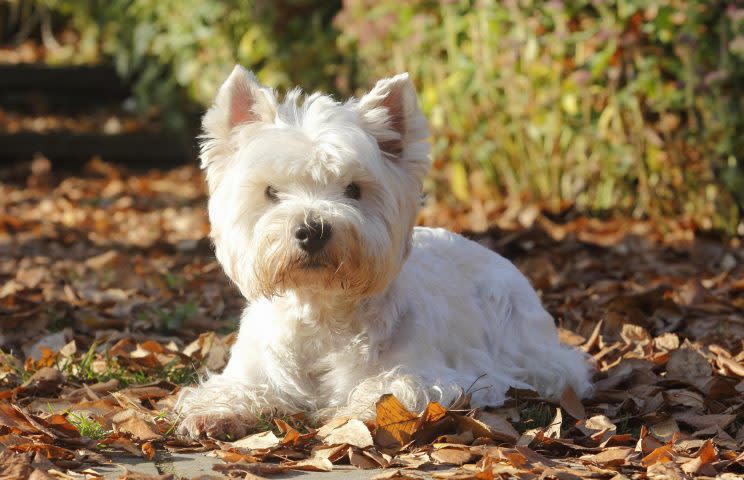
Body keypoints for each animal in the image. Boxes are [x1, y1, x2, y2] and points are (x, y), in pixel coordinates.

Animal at [176, 65, 592, 440]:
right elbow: (236, 387)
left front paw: (360, 411)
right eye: (271, 191)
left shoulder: (440, 375)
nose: (312, 231)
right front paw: (213, 413)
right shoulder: (251, 369)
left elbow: (390, 386)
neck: (321, 314)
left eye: (354, 190)